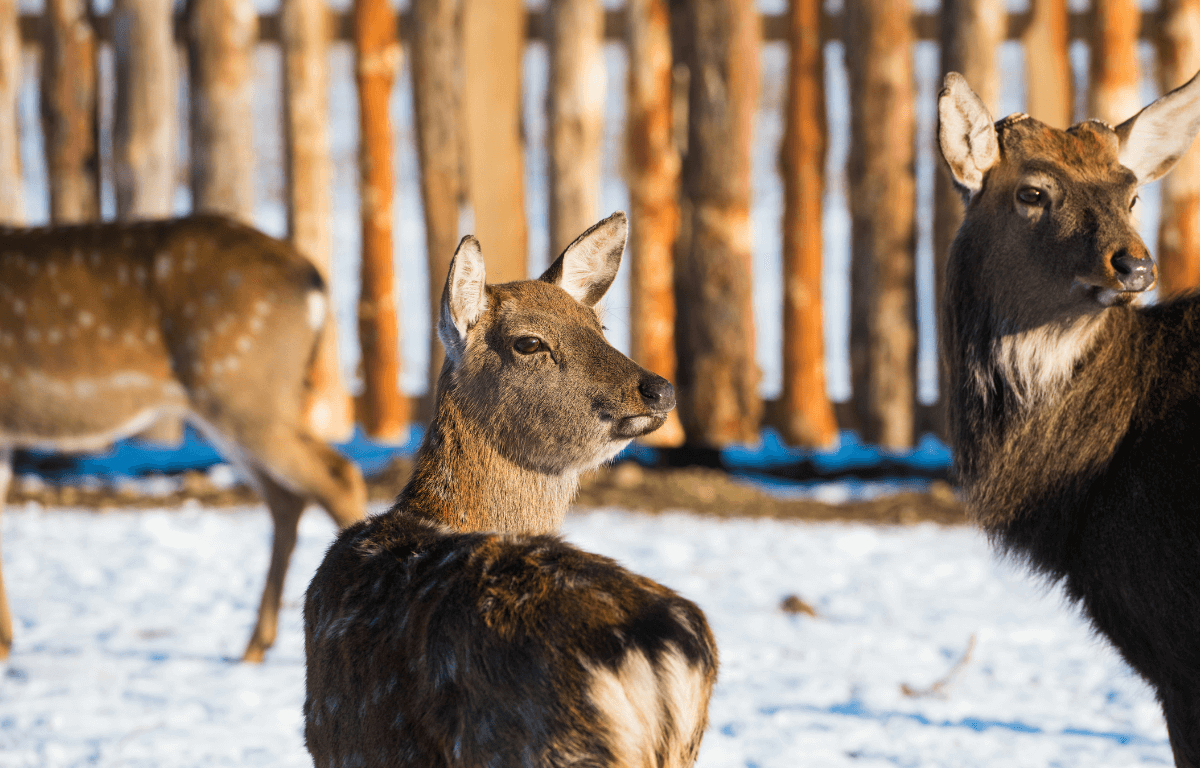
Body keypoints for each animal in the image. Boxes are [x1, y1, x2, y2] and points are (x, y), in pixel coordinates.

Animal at [0, 213, 367, 663]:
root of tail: (314, 280)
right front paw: (5, 641)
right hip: (241, 403)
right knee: (288, 498)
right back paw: (254, 646)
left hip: (241, 389)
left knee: (336, 475)